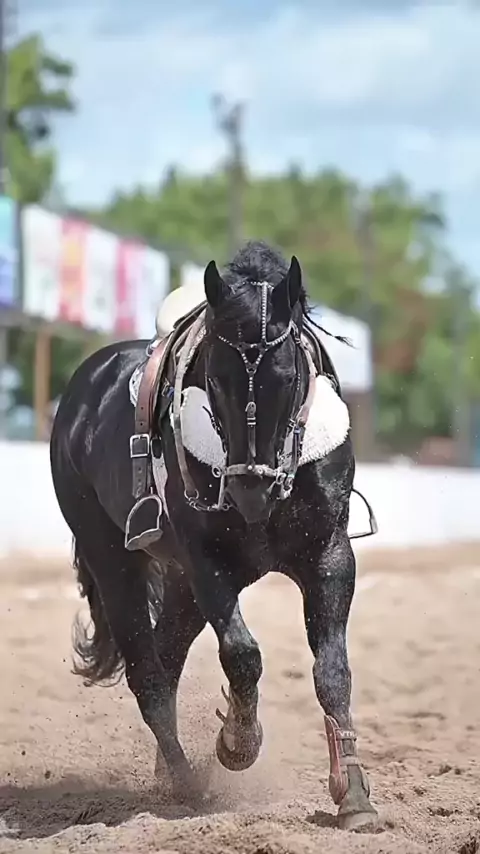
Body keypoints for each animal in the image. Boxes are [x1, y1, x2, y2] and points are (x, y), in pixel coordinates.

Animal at [50, 240, 378, 832]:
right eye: (217, 379)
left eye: (288, 378)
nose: (250, 490)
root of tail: (84, 388)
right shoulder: (206, 562)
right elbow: (243, 655)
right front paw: (237, 745)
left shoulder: (330, 556)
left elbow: (332, 670)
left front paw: (354, 795)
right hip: (115, 561)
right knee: (149, 675)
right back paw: (184, 782)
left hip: (181, 586)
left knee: (167, 655)